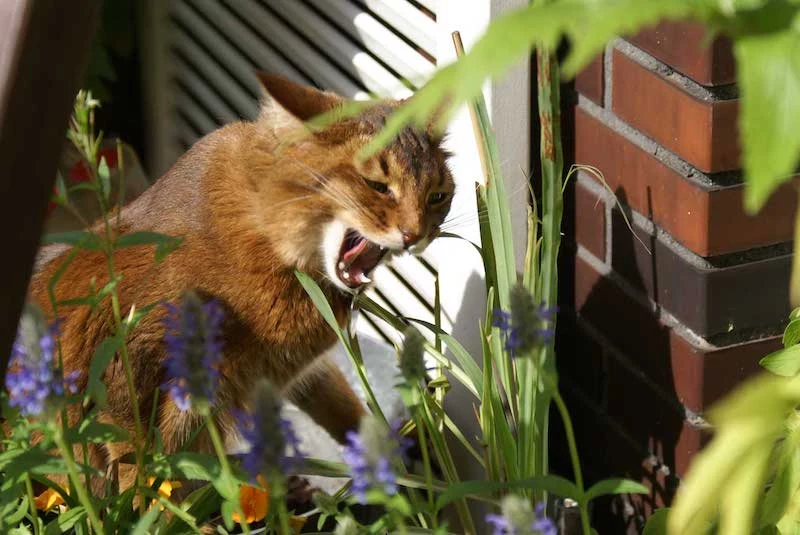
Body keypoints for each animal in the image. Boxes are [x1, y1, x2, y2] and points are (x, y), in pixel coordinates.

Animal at [29, 73, 456, 492]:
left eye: (437, 196)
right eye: (377, 186)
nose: (416, 235)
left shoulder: (295, 371)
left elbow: (348, 409)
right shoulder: (123, 377)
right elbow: (144, 484)